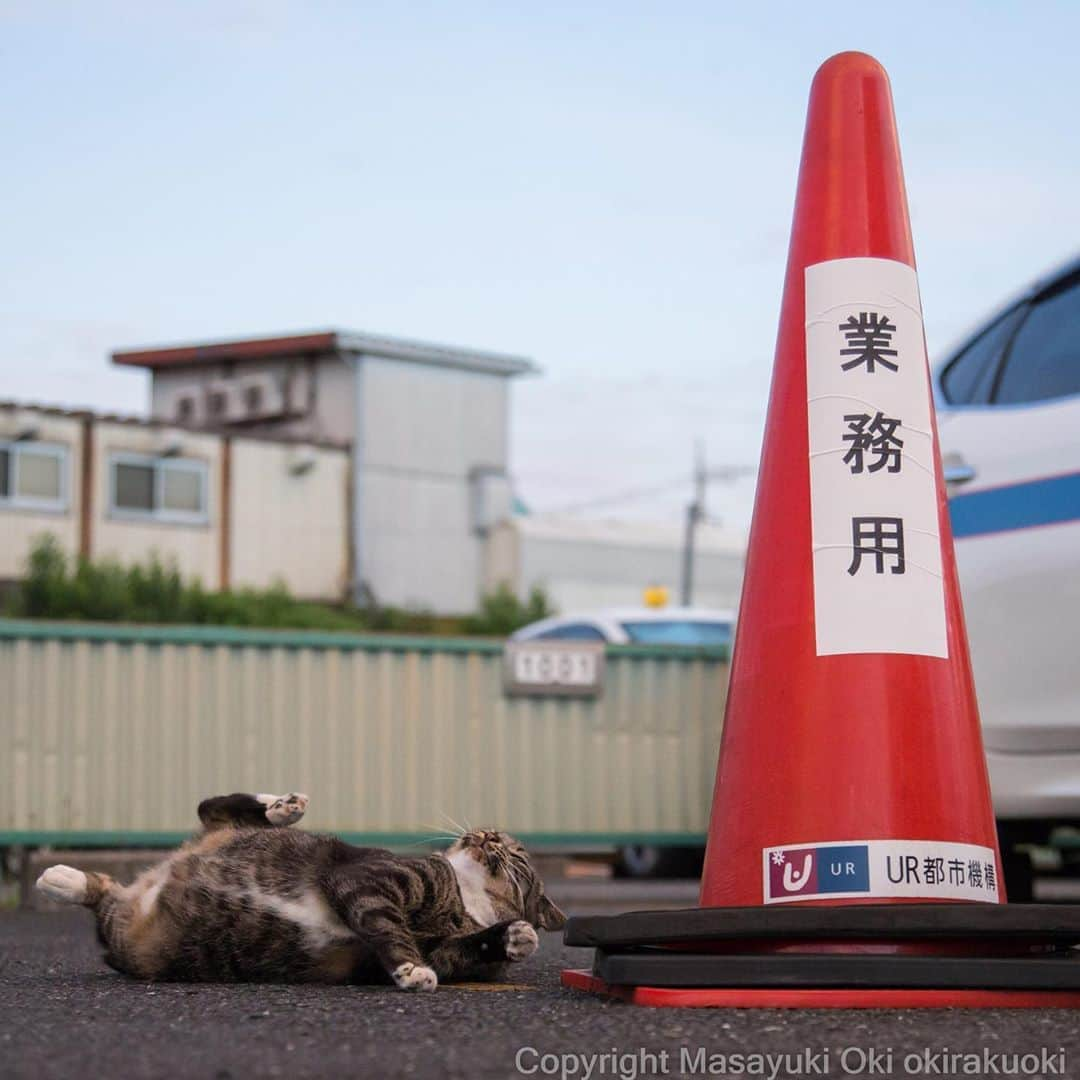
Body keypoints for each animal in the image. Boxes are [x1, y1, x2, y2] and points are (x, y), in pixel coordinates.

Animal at [33, 790, 565, 989]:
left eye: (516, 852)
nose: (486, 833)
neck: (468, 896)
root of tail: (155, 878)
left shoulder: (443, 949)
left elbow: (462, 948)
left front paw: (516, 936)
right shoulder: (369, 879)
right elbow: (389, 927)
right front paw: (411, 969)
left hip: (135, 939)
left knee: (105, 899)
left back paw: (66, 880)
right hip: (230, 831)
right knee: (216, 806)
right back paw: (283, 806)